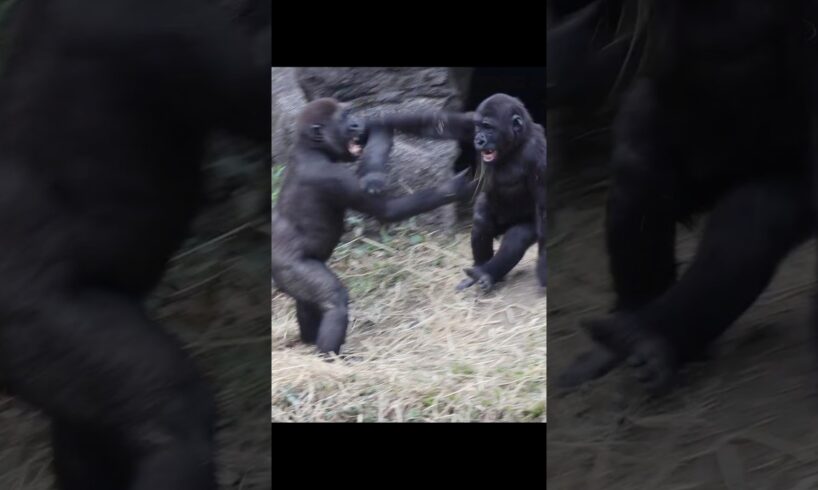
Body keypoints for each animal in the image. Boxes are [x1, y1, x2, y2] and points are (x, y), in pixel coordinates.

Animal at [270, 96, 474, 356]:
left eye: (349, 113)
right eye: (344, 118)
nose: (357, 123)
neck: (311, 149)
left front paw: (380, 129)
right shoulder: (332, 176)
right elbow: (386, 211)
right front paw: (455, 188)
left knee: (308, 302)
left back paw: (309, 341)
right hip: (288, 267)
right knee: (333, 300)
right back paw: (329, 357)